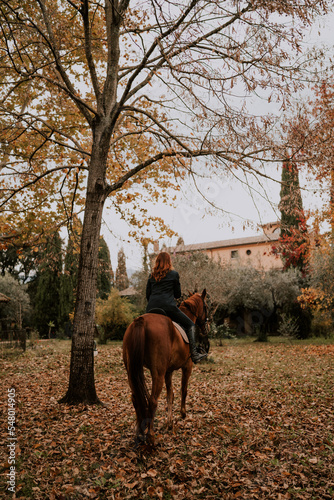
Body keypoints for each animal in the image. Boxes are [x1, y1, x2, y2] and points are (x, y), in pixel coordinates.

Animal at [122, 290, 209, 446]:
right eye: (206, 306)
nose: (207, 326)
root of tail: (140, 321)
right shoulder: (187, 367)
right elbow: (183, 390)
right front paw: (183, 413)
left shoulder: (168, 371)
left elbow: (170, 395)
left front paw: (169, 422)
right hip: (158, 373)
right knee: (152, 401)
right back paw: (150, 436)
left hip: (131, 371)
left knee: (135, 398)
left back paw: (138, 432)